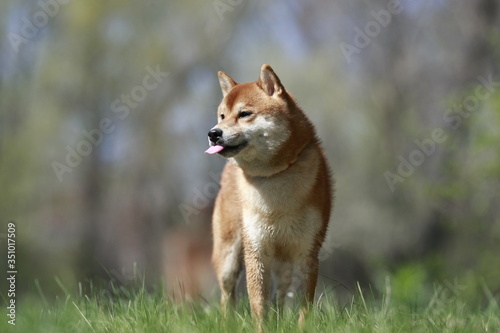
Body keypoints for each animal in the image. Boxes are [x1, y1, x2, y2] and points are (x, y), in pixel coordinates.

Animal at [205, 64, 334, 324]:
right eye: (222, 116)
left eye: (244, 114)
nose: (213, 133)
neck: (274, 179)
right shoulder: (256, 250)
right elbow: (258, 305)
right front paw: (262, 326)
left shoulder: (307, 253)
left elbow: (303, 306)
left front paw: (301, 327)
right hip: (228, 256)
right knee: (227, 296)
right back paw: (227, 323)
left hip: (284, 263)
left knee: (279, 296)